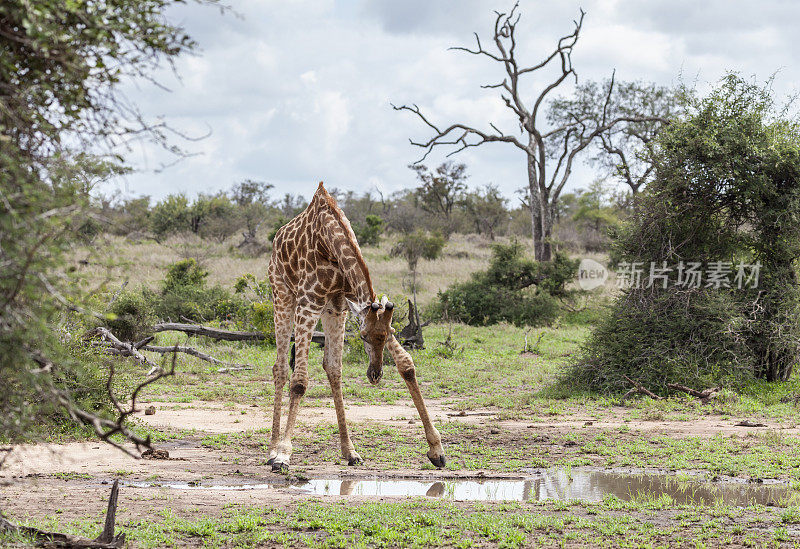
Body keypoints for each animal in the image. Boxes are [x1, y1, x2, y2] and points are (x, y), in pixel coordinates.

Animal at [268, 181, 444, 470]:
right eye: (362, 336)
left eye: (388, 334)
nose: (374, 375)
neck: (329, 241)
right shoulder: (308, 302)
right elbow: (299, 381)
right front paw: (283, 454)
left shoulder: (347, 302)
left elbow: (406, 365)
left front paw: (436, 449)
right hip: (282, 295)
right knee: (281, 368)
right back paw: (272, 450)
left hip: (332, 310)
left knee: (332, 368)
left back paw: (349, 451)